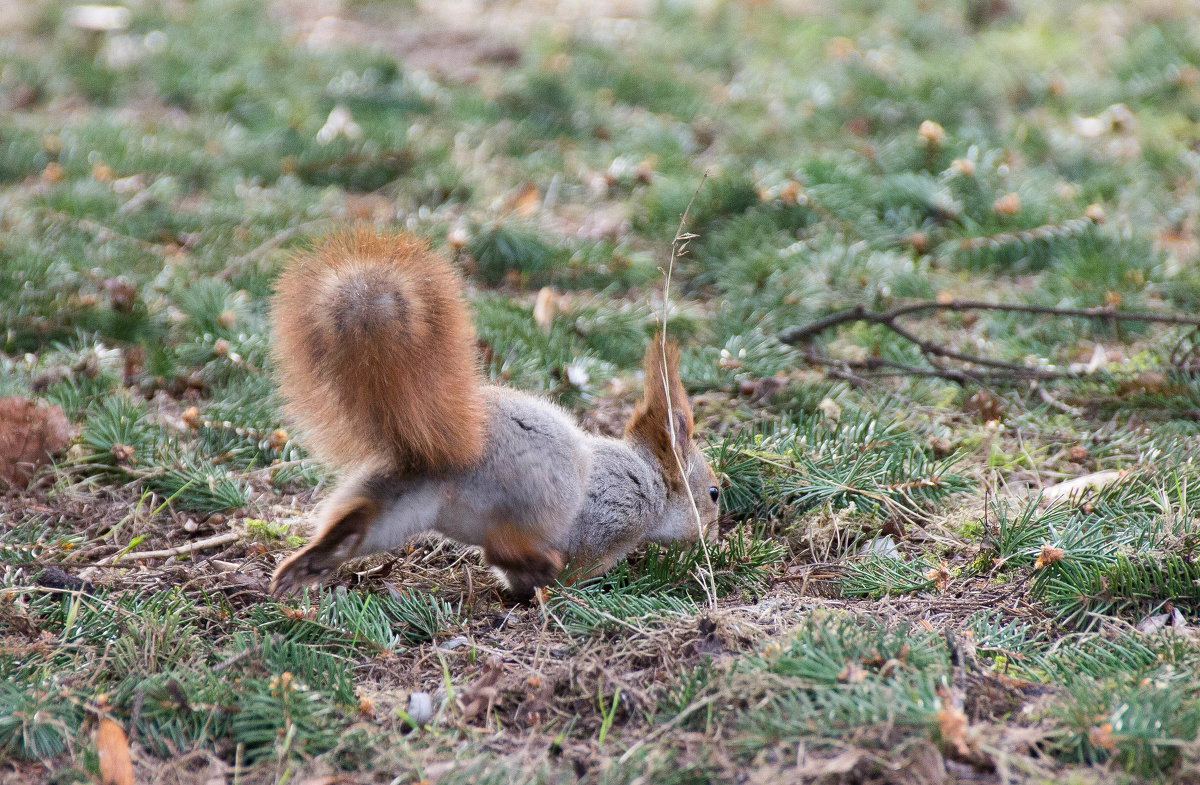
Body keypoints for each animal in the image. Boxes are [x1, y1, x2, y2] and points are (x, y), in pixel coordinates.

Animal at [272, 230, 720, 600]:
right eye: (714, 493)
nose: (712, 539)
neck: (652, 483)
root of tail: (443, 458)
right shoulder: (611, 516)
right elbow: (578, 565)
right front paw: (564, 589)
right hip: (545, 491)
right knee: (503, 545)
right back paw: (542, 566)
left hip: (396, 506)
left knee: (358, 524)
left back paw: (306, 565)